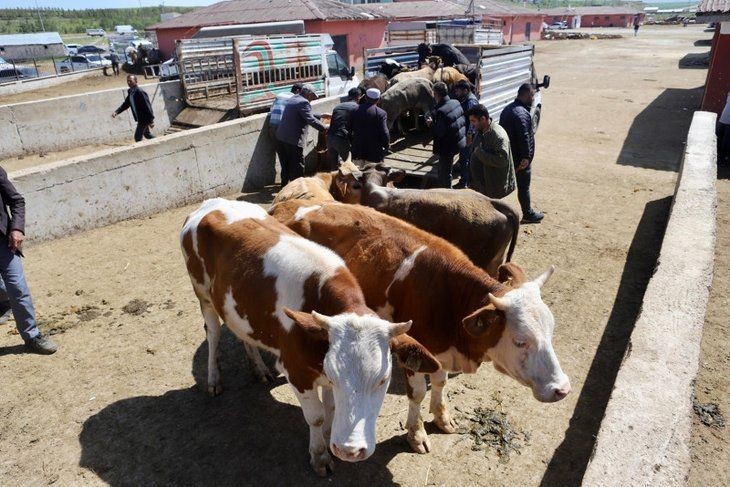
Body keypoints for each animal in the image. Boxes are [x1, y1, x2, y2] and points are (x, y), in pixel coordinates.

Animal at [180, 198, 438, 476]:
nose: (349, 451)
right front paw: (320, 455)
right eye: (335, 378)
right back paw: (214, 379)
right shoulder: (297, 371)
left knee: (243, 335)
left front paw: (327, 437)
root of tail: (212, 203)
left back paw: (259, 370)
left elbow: (331, 408)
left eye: (383, 380)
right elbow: (315, 416)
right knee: (214, 333)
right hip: (202, 294)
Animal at [270, 200, 572, 456]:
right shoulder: (413, 350)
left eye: (551, 331)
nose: (563, 389)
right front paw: (416, 435)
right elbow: (417, 394)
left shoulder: (440, 352)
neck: (448, 297)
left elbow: (440, 382)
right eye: (520, 341)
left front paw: (442, 417)